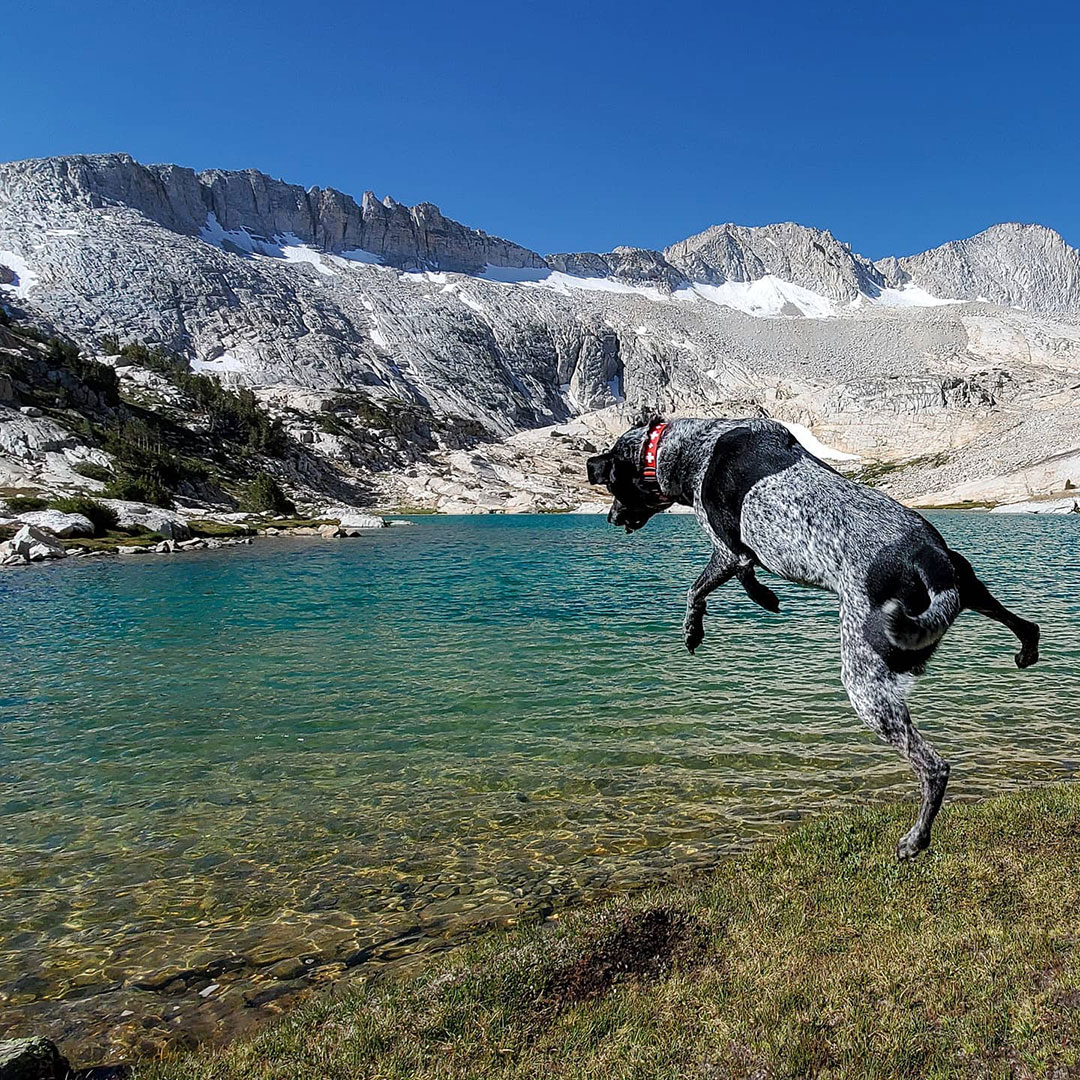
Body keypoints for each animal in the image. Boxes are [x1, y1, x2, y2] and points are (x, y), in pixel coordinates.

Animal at [587, 414, 1041, 859]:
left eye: (612, 486)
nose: (609, 518)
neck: (688, 445)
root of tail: (928, 559)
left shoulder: (726, 548)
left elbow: (697, 588)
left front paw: (694, 628)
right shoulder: (742, 555)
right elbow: (747, 574)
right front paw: (764, 597)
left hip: (865, 683)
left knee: (934, 768)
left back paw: (915, 840)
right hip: (971, 587)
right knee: (1025, 625)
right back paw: (1026, 652)